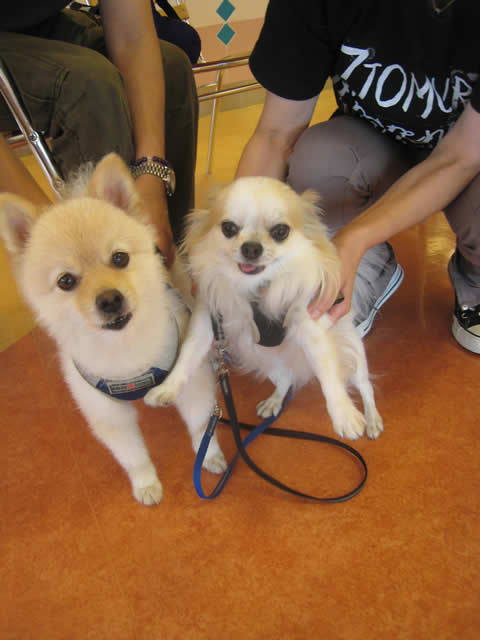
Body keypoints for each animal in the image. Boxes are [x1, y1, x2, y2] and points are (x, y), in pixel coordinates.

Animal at [0, 153, 226, 506]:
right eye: (66, 281)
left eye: (119, 258)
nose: (109, 299)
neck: (125, 350)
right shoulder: (107, 412)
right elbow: (132, 455)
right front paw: (145, 483)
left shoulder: (192, 385)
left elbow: (201, 425)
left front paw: (209, 455)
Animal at [144, 176, 384, 441]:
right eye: (229, 228)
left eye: (280, 231)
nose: (251, 247)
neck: (256, 289)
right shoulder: (208, 321)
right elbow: (187, 355)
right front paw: (167, 388)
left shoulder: (311, 328)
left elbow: (329, 374)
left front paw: (344, 414)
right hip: (267, 362)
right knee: (286, 380)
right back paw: (274, 401)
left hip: (354, 357)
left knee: (365, 386)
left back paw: (373, 419)